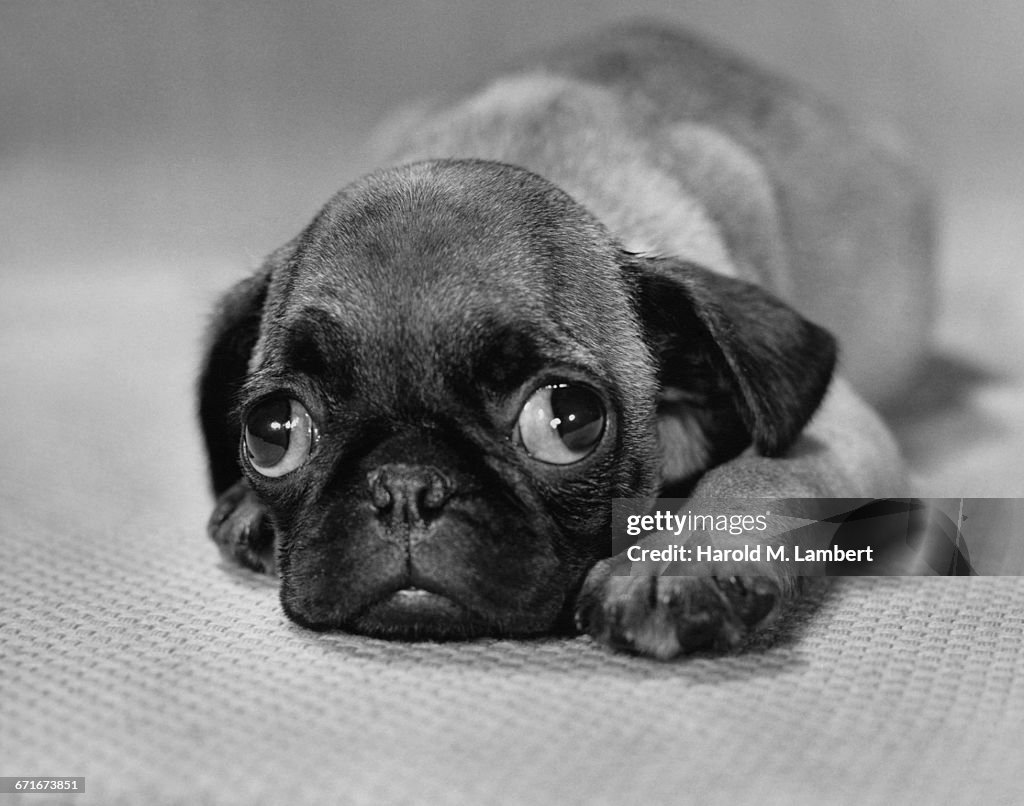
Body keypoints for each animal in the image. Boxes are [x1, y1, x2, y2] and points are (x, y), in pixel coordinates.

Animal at [195, 23, 933, 663]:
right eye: (274, 430)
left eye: (566, 421)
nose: (405, 487)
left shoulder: (837, 427)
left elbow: (759, 470)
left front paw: (680, 561)